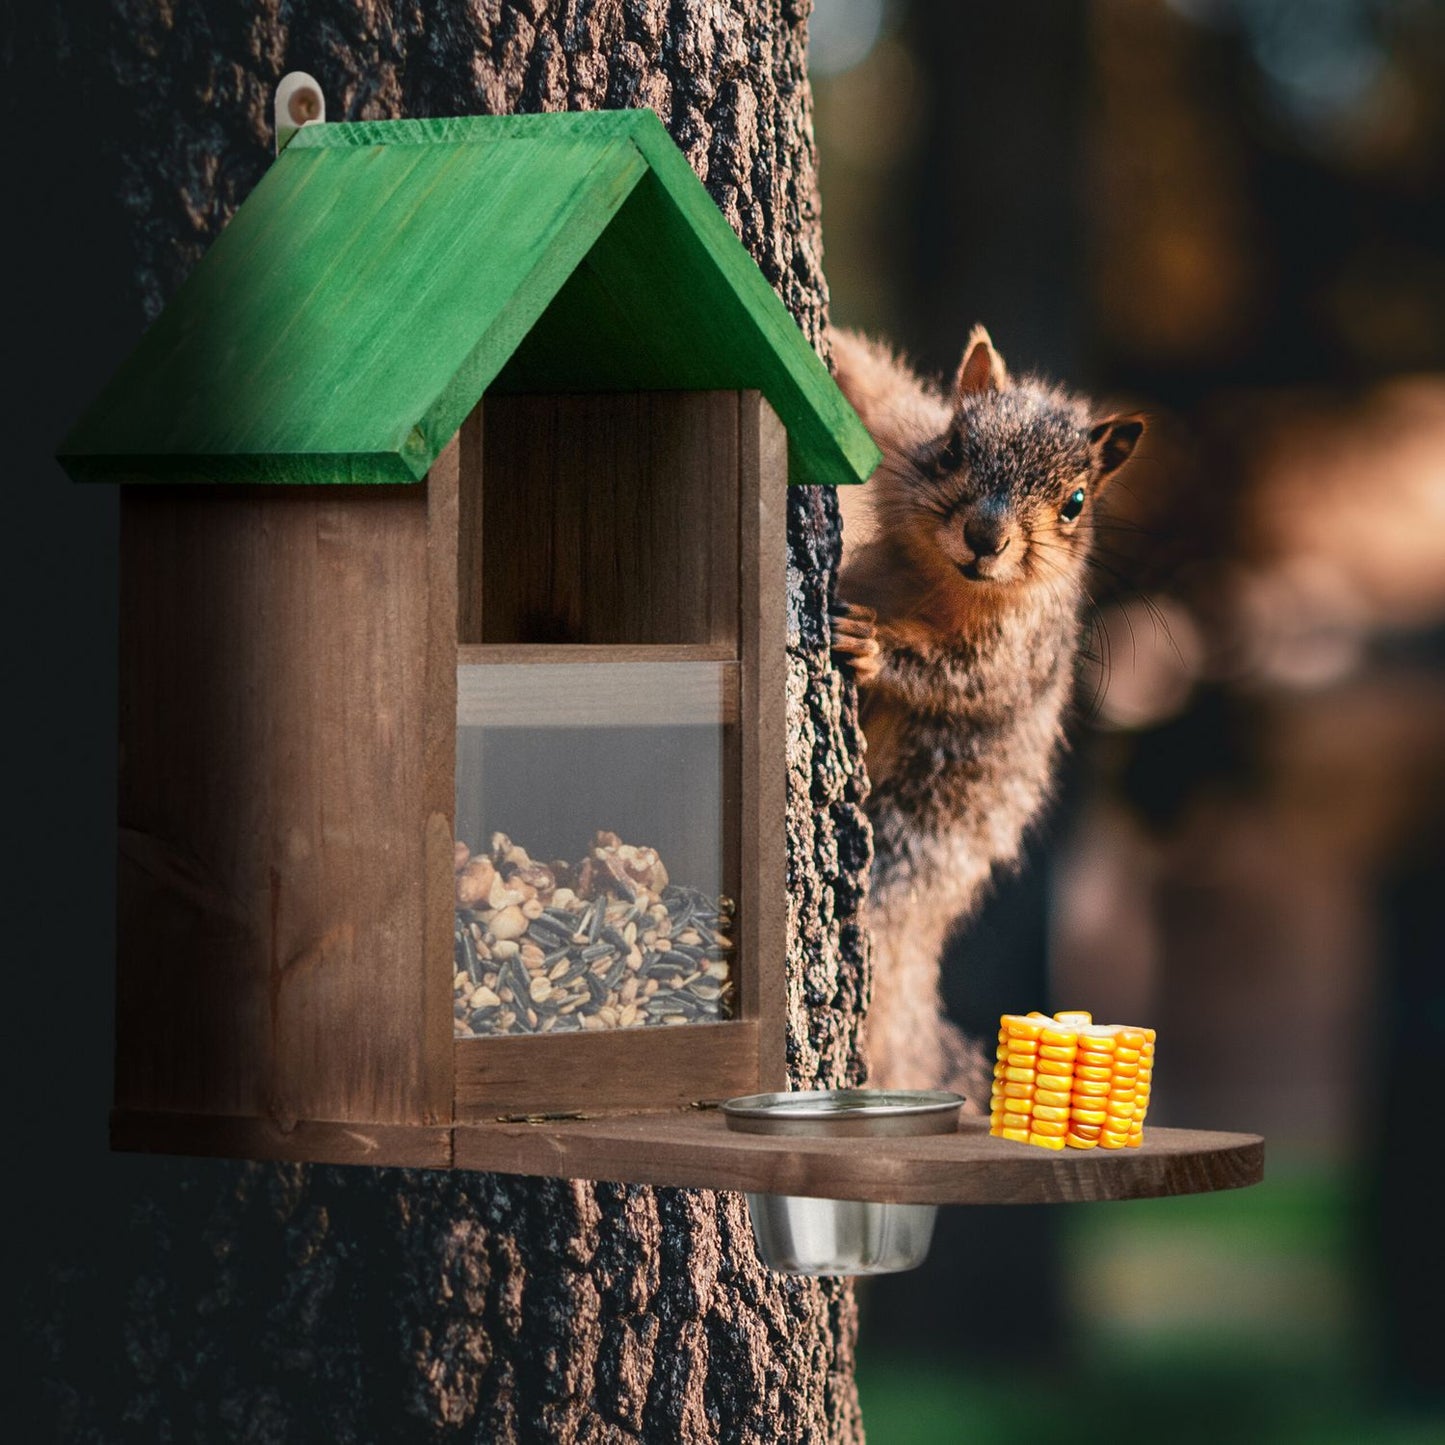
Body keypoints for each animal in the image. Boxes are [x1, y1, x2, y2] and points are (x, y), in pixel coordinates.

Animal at [828, 325, 1144, 1103]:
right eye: (951, 447)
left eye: (1075, 502)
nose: (985, 536)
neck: (935, 578)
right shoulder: (898, 432)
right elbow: (877, 388)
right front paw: (834, 347)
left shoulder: (1016, 649)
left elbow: (961, 678)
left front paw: (873, 644)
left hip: (914, 836)